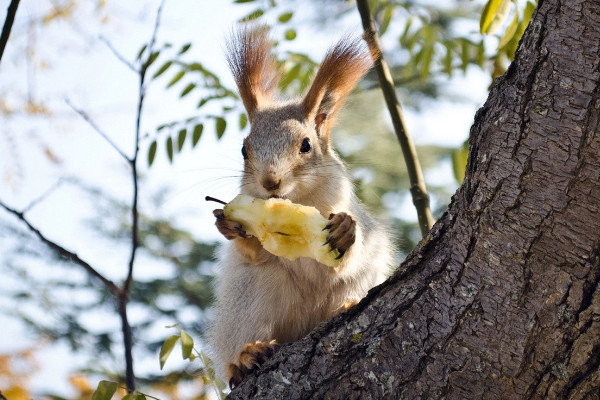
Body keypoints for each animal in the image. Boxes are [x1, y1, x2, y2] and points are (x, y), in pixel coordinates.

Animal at [209, 25, 396, 388]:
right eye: (244, 150)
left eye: (306, 145)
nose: (270, 182)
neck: (298, 200)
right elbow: (255, 253)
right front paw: (228, 226)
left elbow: (342, 260)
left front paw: (345, 231)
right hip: (252, 295)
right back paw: (245, 357)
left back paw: (345, 306)